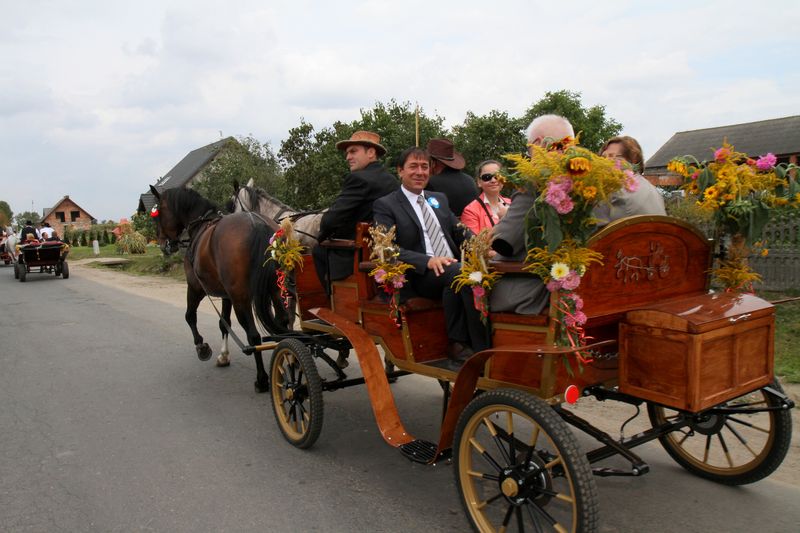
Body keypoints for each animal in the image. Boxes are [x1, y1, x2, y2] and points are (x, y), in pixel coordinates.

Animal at [148, 186, 290, 390]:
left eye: (158, 214)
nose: (163, 245)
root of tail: (256, 223)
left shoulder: (195, 288)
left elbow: (190, 316)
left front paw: (202, 347)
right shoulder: (226, 296)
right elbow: (224, 323)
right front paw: (223, 356)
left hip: (241, 298)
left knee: (253, 336)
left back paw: (262, 379)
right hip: (276, 290)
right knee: (284, 324)